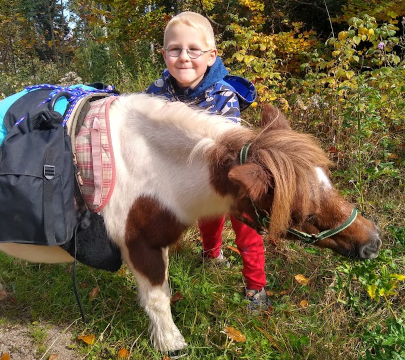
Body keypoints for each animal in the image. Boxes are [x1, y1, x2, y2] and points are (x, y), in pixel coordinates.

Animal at [0, 93, 378, 354]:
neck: (150, 167)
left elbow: (162, 292)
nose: (373, 242)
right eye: (304, 214)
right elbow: (157, 300)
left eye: (328, 180)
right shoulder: (139, 247)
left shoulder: (158, 243)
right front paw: (171, 345)